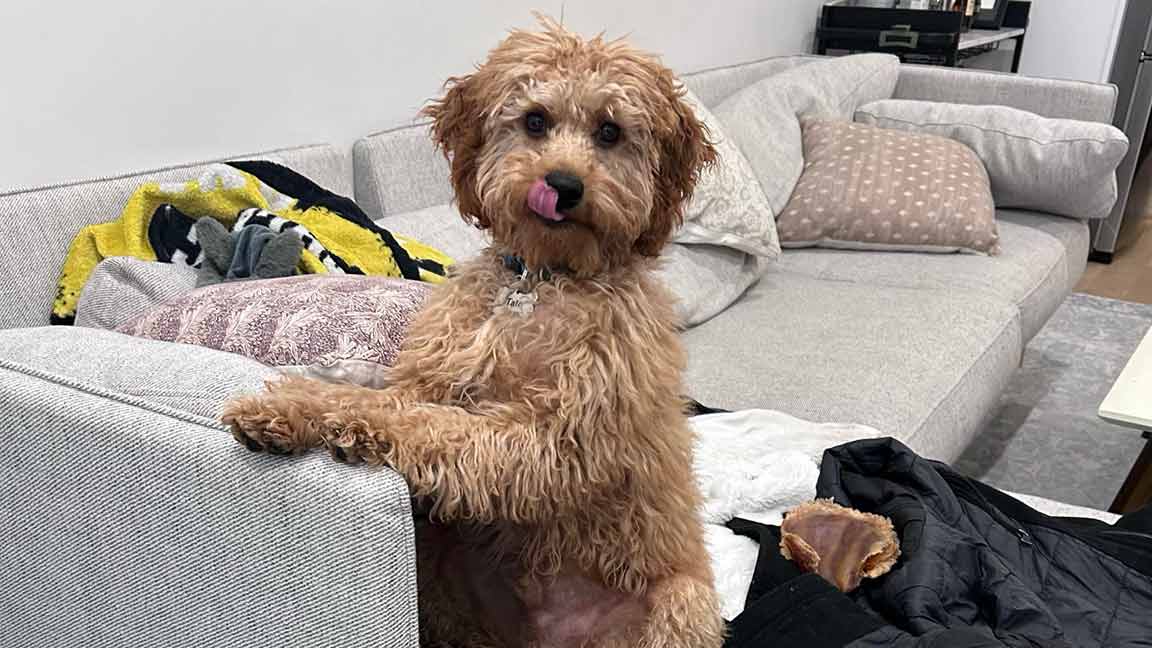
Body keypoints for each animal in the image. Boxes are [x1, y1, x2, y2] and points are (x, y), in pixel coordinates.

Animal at [223, 16, 718, 645]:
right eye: (535, 120)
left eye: (610, 131)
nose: (563, 184)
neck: (537, 281)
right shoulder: (434, 378)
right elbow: (385, 393)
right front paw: (291, 402)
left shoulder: (548, 441)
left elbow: (424, 423)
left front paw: (342, 420)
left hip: (681, 605)